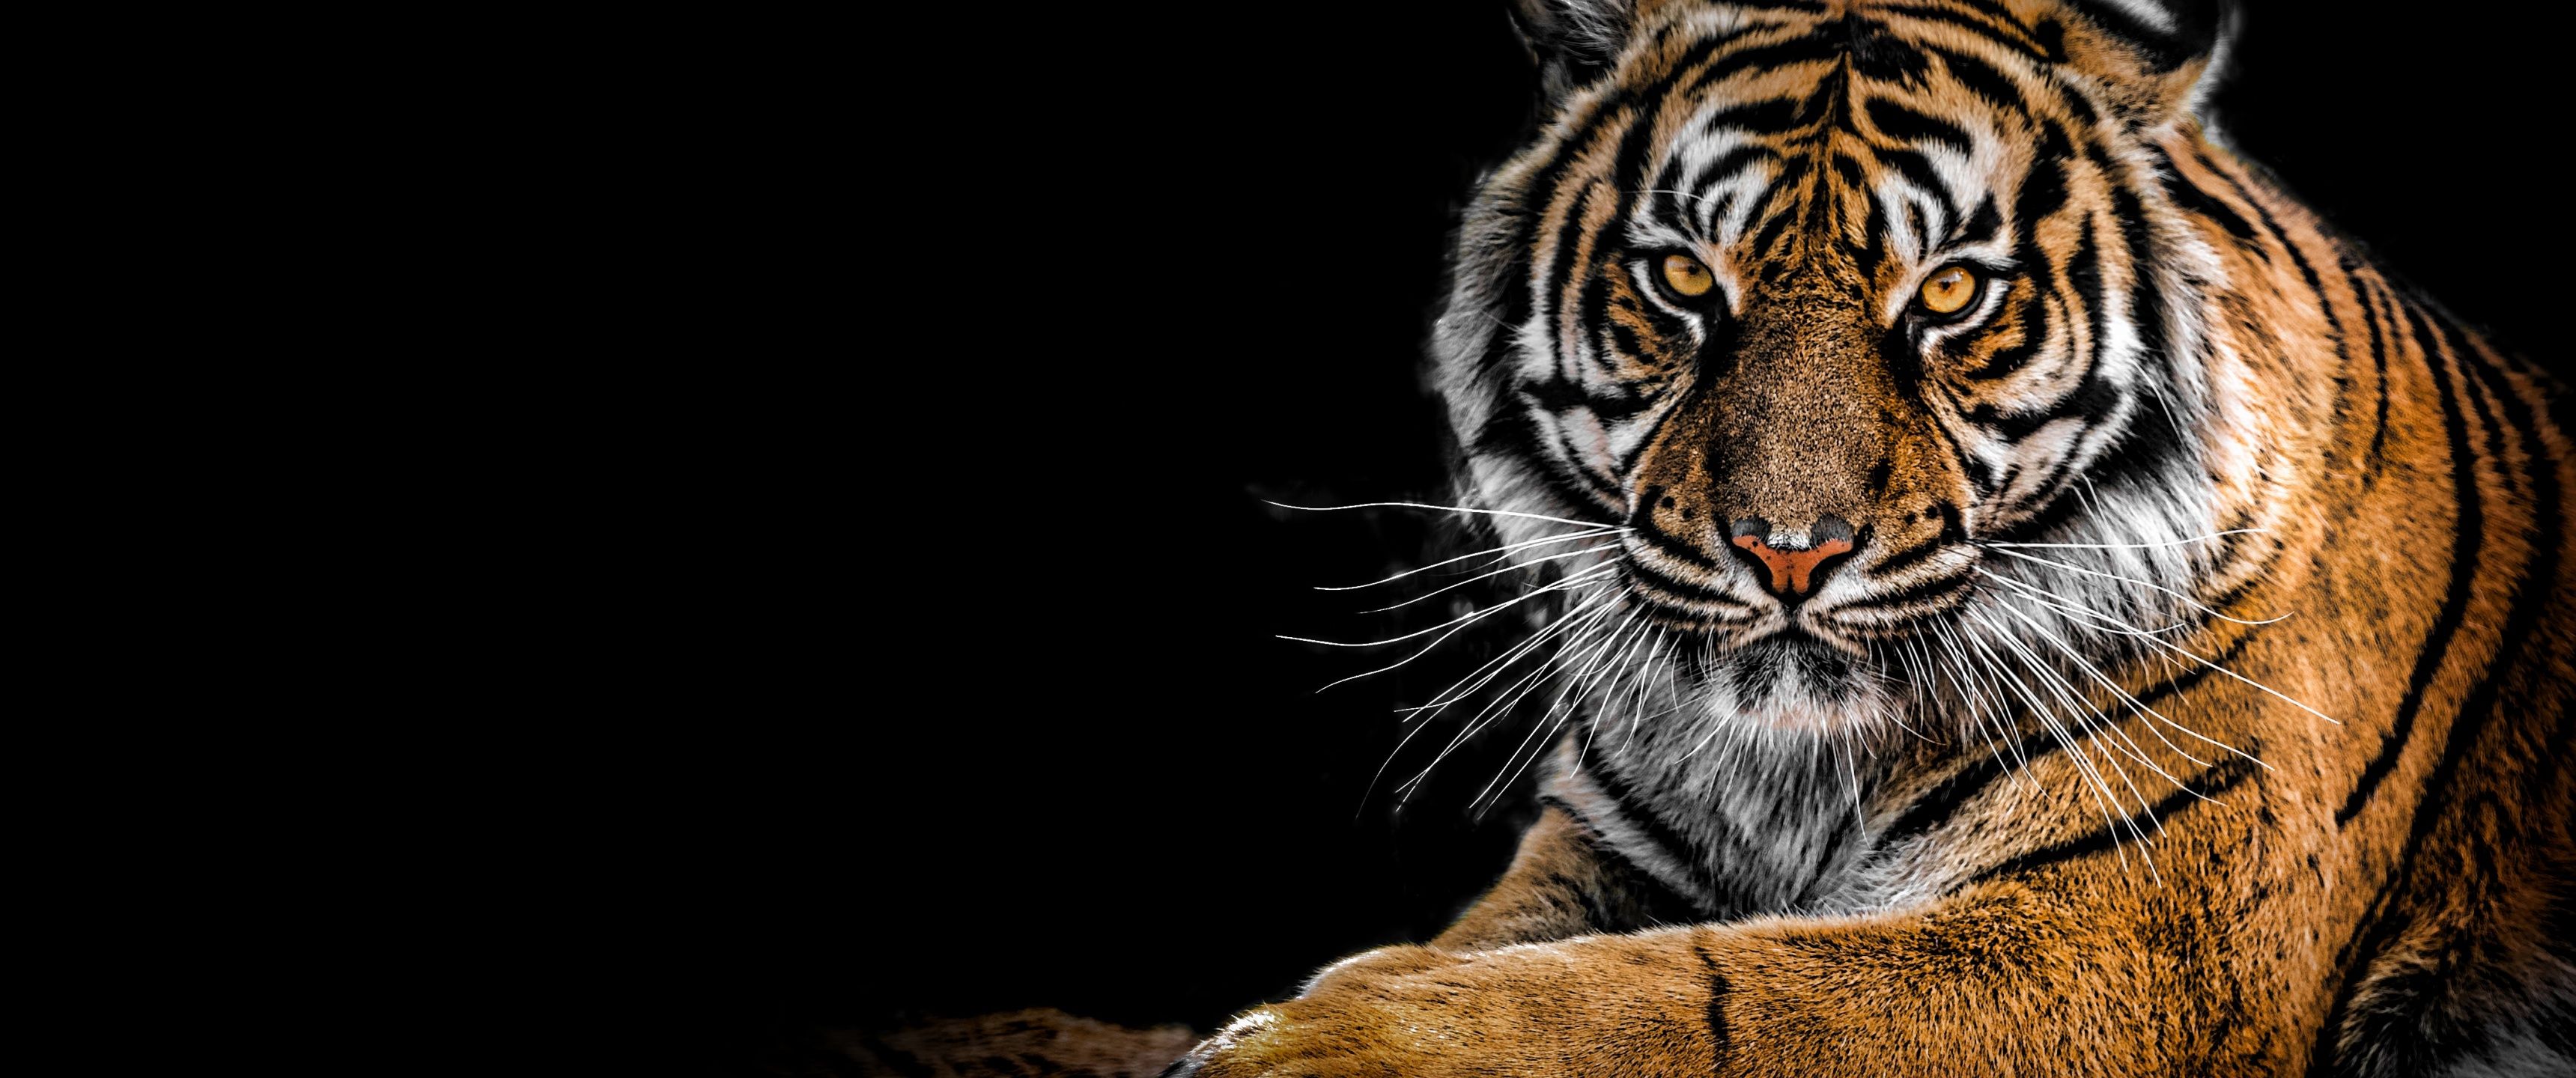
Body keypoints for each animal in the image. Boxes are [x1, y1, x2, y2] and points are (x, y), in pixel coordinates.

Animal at [1152, 1, 2575, 1076]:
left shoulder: (2131, 936)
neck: (1795, 771)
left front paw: (1301, 1046)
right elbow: (1514, 947)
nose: (1789, 551)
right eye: (1683, 278)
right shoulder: (1608, 847)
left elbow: (1687, 999)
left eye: (1949, 292)